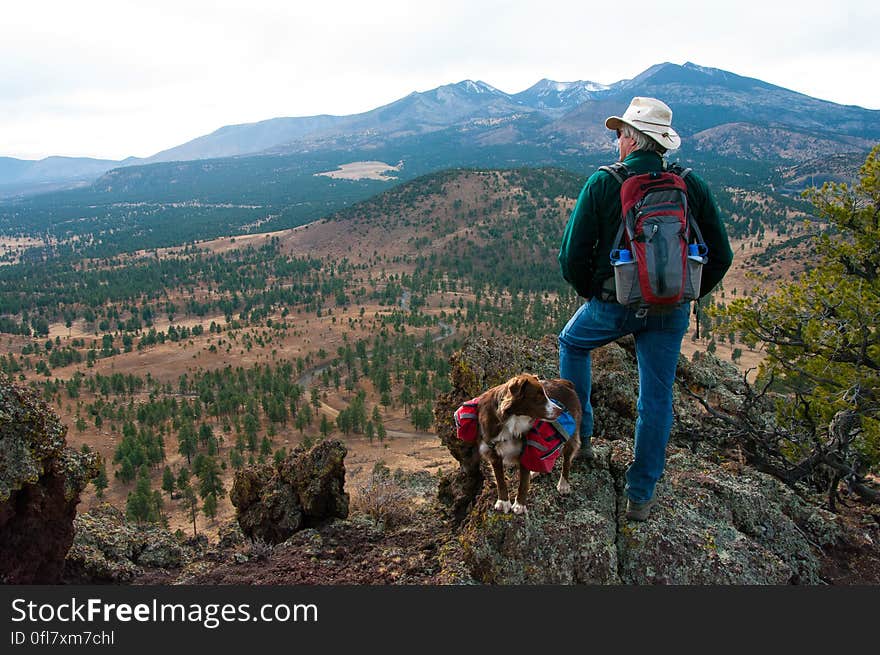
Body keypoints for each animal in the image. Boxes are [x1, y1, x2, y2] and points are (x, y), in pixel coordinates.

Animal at [478, 372, 580, 516]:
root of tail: (565, 382)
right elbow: (500, 480)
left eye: (546, 394)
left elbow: (523, 483)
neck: (512, 419)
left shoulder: (526, 449)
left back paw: (564, 484)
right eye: (538, 396)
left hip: (571, 436)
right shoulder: (493, 452)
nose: (560, 410)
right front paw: (503, 502)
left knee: (567, 460)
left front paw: (520, 505)